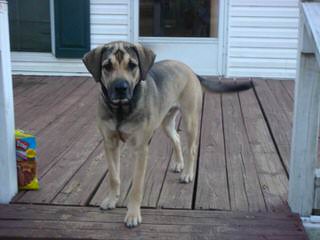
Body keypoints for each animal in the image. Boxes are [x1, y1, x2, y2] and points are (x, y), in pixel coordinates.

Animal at [81, 40, 251, 227]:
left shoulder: (141, 149)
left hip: (190, 120)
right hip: (166, 122)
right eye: (107, 66)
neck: (121, 109)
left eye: (132, 65)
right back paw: (178, 164)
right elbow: (113, 177)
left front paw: (133, 214)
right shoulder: (109, 143)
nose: (121, 88)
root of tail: (190, 70)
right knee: (176, 138)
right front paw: (111, 200)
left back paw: (187, 174)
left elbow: (137, 186)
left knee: (191, 149)